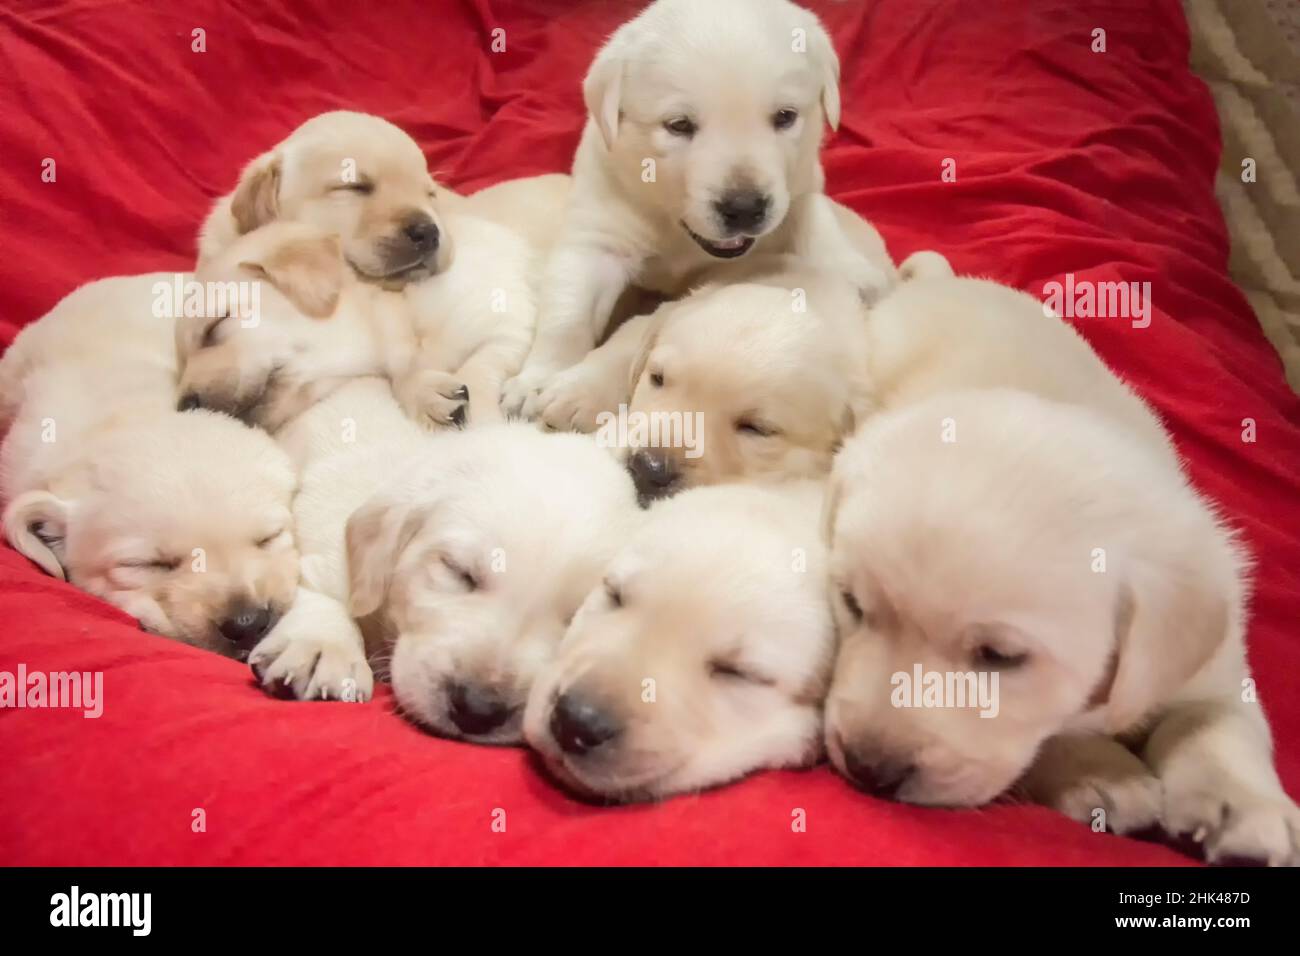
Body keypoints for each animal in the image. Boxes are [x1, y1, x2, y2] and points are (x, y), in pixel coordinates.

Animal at [527, 265, 873, 504]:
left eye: (757, 428)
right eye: (657, 378)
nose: (649, 468)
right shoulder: (666, 310)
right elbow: (630, 340)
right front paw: (572, 395)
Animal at [826, 390, 1294, 868]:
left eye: (1000, 656)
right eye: (852, 603)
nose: (868, 768)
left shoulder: (1216, 664)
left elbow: (1214, 721)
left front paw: (1241, 810)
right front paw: (1099, 771)